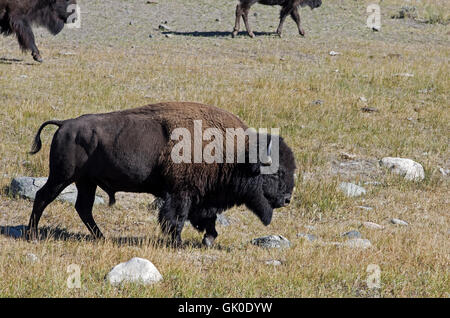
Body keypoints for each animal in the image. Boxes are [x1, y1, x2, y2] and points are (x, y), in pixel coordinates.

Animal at [26, 103, 298, 247]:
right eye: (277, 172)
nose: (287, 199)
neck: (235, 153)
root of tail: (65, 123)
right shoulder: (181, 194)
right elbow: (176, 219)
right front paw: (178, 243)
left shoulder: (203, 197)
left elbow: (206, 219)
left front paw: (208, 240)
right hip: (61, 177)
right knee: (42, 197)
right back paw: (32, 235)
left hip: (86, 182)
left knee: (83, 208)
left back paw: (101, 237)